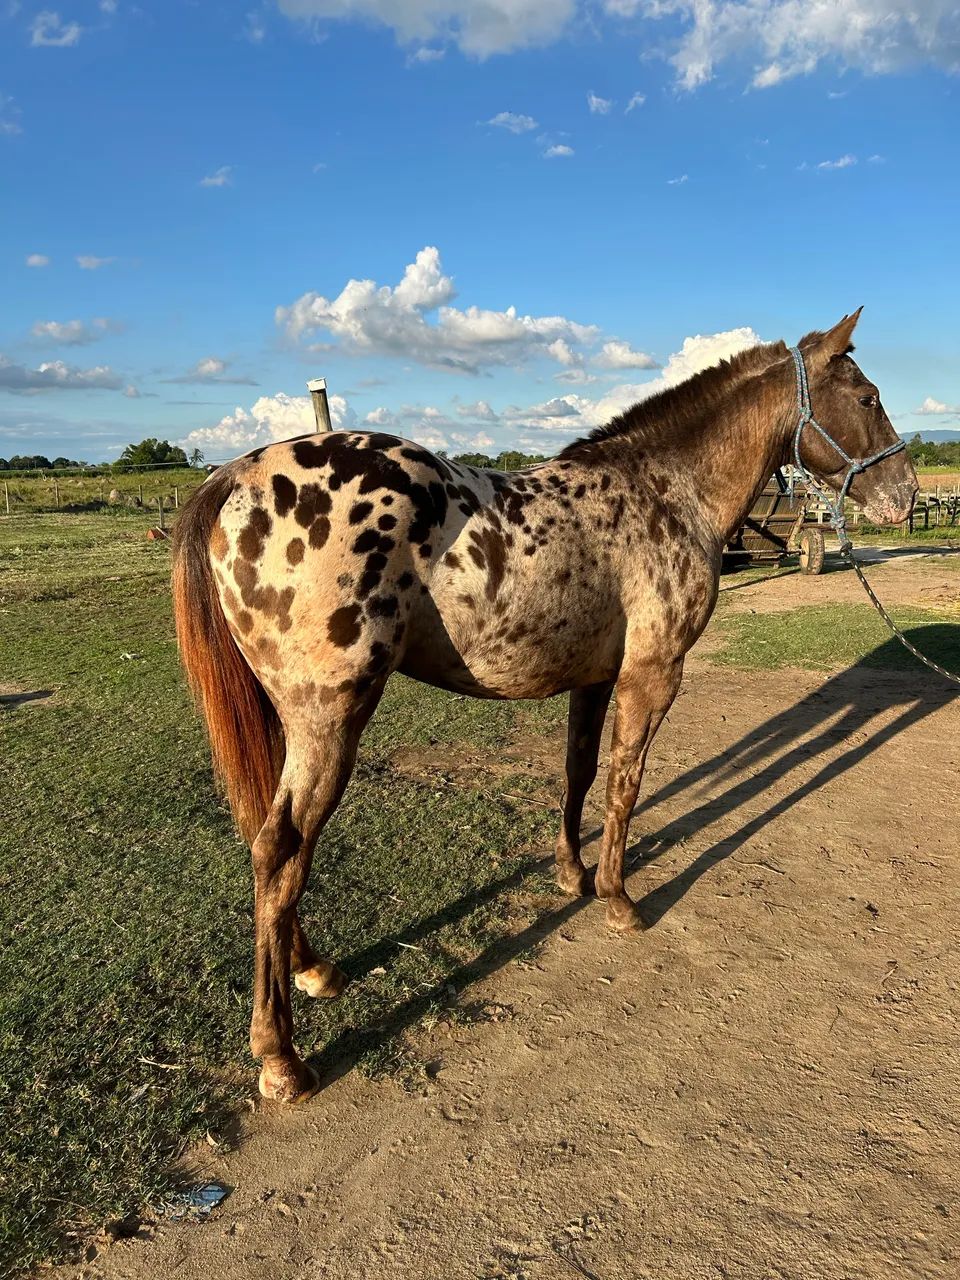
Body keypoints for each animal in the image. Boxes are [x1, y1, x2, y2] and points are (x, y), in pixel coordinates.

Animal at [172, 310, 917, 1102]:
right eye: (867, 397)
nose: (904, 496)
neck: (667, 489)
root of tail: (233, 475)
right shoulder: (653, 674)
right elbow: (626, 782)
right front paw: (619, 899)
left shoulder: (594, 678)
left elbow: (580, 773)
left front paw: (572, 874)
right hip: (329, 719)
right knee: (282, 849)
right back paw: (281, 1057)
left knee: (268, 841)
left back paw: (315, 970)